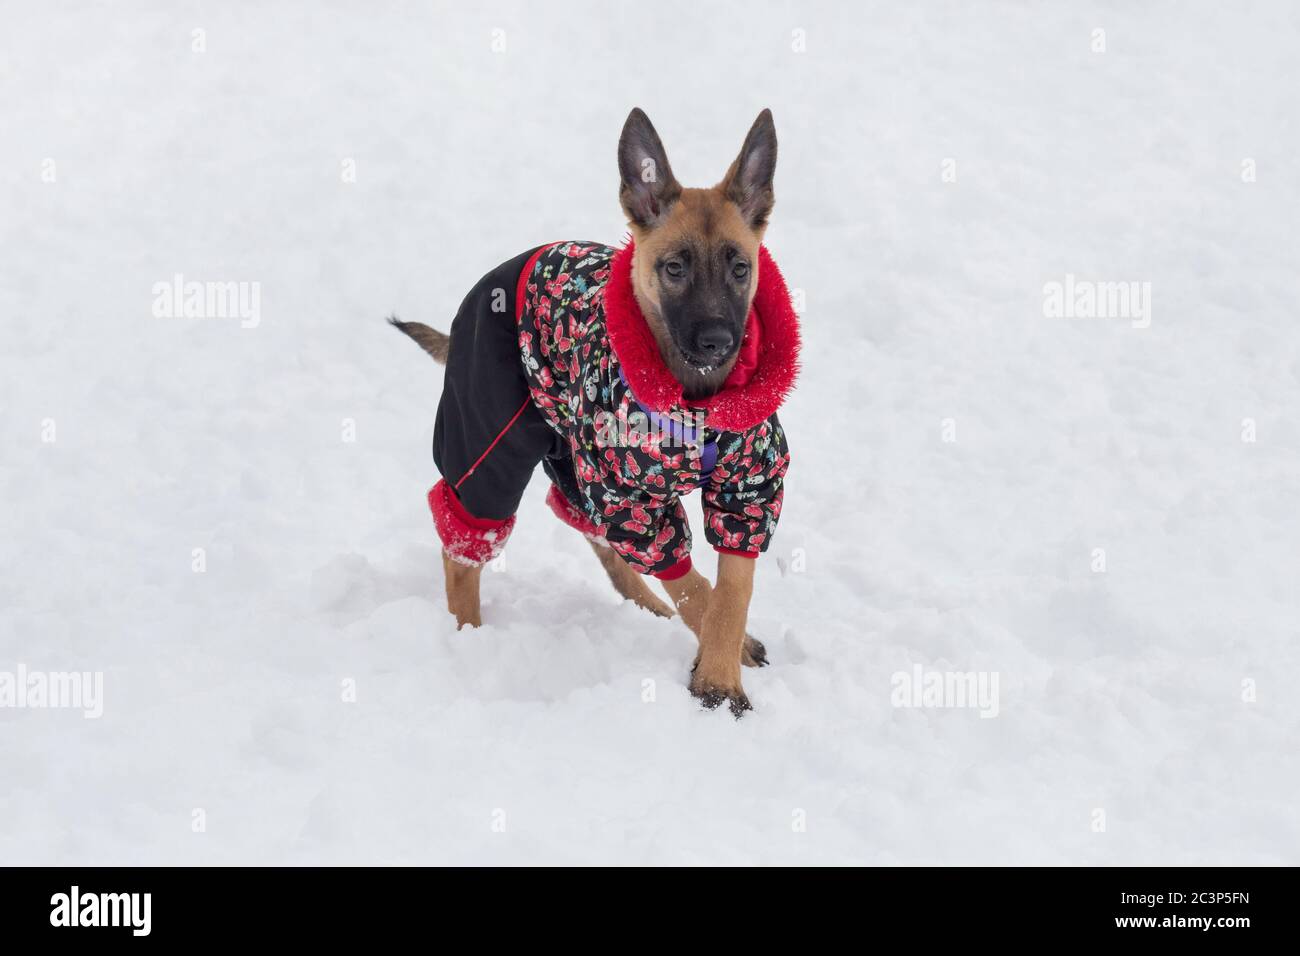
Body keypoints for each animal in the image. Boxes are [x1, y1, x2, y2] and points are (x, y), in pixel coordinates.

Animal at [392, 108, 800, 712]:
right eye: (674, 268)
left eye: (740, 268)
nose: (717, 341)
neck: (697, 400)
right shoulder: (627, 494)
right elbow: (691, 585)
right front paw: (717, 672)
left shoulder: (750, 488)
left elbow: (731, 589)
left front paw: (722, 665)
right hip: (492, 444)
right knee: (465, 544)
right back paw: (468, 637)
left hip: (571, 457)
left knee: (588, 527)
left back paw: (646, 608)